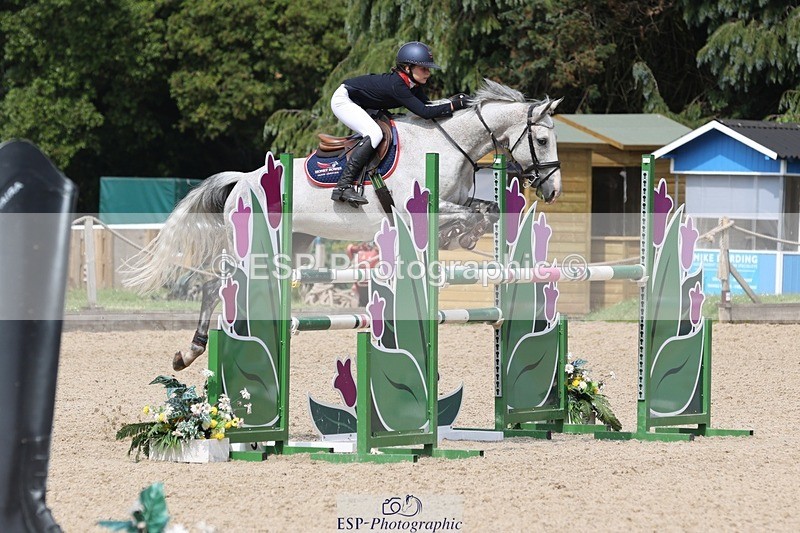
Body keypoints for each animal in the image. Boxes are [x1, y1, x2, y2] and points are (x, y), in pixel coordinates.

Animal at [123, 79, 563, 370]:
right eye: (541, 141)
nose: (553, 189)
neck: (448, 145)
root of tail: (241, 180)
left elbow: (482, 210)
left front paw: (469, 234)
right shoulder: (417, 210)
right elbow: (467, 214)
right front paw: (464, 231)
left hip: (293, 241)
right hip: (249, 245)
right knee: (215, 288)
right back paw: (191, 351)